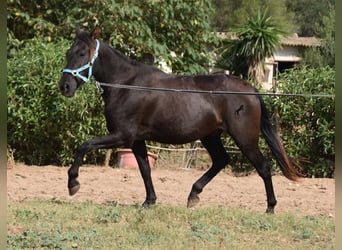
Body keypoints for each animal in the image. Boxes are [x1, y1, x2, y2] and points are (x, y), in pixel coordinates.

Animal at [58, 28, 296, 214]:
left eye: (82, 53)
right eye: (68, 52)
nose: (65, 86)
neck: (126, 85)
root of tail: (252, 91)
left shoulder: (122, 136)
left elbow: (84, 145)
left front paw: (73, 183)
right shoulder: (136, 140)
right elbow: (145, 169)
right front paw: (149, 201)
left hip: (245, 139)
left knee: (263, 167)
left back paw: (270, 207)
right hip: (210, 136)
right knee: (221, 160)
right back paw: (193, 195)